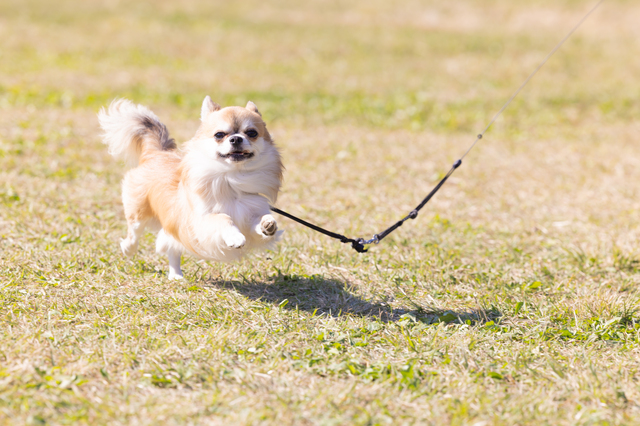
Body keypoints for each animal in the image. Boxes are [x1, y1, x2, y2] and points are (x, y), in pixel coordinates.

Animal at [97, 96, 282, 280]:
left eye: (252, 133)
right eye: (219, 135)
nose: (236, 139)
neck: (231, 179)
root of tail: (158, 152)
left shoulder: (249, 214)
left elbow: (259, 220)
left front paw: (268, 225)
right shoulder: (198, 222)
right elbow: (223, 217)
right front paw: (235, 237)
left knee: (172, 248)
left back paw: (176, 275)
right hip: (139, 212)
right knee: (134, 233)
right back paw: (128, 249)